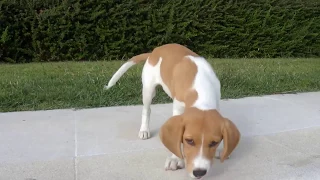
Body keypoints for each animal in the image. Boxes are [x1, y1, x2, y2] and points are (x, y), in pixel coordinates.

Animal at [105, 43, 240, 179]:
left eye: (214, 142)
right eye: (189, 141)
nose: (199, 172)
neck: (201, 88)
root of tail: (154, 51)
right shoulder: (178, 107)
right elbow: (176, 139)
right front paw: (175, 159)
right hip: (148, 90)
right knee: (146, 110)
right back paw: (144, 130)